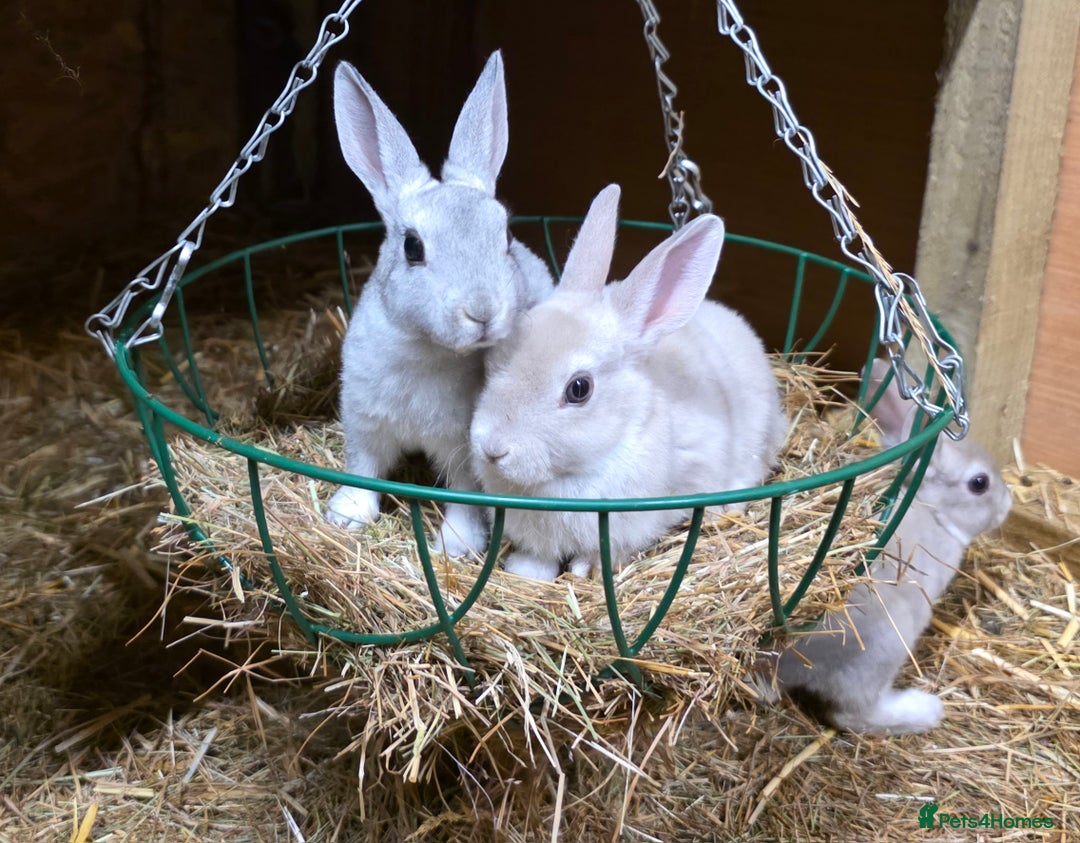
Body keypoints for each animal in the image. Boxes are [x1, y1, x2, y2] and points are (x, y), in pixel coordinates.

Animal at [325, 51, 554, 557]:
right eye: (412, 247)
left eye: (505, 236)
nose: (483, 311)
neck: (424, 348)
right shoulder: (363, 422)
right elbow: (362, 470)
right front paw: (346, 517)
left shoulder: (464, 450)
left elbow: (465, 495)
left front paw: (456, 546)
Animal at [470, 184, 788, 581]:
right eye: (497, 357)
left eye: (579, 389)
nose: (492, 448)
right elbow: (536, 557)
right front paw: (526, 571)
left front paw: (582, 570)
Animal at [772, 358, 1012, 735]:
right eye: (979, 483)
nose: (1008, 503)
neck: (932, 510)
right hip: (886, 643)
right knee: (853, 713)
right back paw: (926, 710)